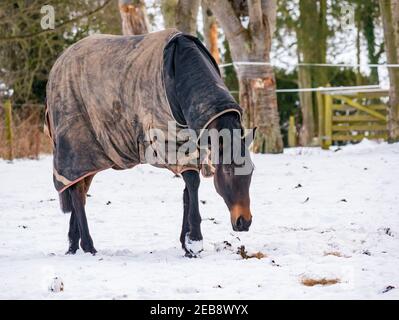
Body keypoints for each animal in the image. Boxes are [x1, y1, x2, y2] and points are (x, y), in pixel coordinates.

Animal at [45, 28, 255, 256]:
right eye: (227, 170)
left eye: (252, 170)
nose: (244, 222)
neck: (178, 76)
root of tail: (58, 65)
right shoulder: (171, 144)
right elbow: (192, 184)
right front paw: (195, 241)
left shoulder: (192, 147)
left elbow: (187, 192)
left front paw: (186, 243)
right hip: (77, 151)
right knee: (76, 194)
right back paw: (88, 246)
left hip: (91, 158)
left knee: (79, 192)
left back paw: (73, 246)